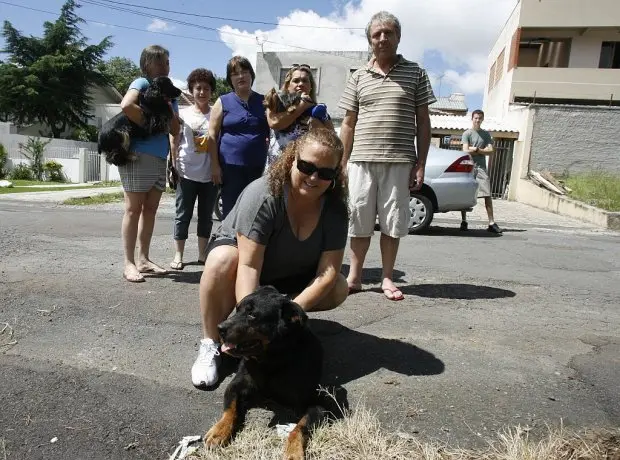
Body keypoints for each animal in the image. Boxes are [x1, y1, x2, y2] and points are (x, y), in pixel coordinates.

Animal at [206, 286, 346, 458]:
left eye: (252, 315)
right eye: (237, 309)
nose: (219, 328)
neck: (271, 360)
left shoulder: (319, 402)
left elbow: (301, 426)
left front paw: (293, 451)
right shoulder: (237, 385)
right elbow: (230, 410)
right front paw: (219, 431)